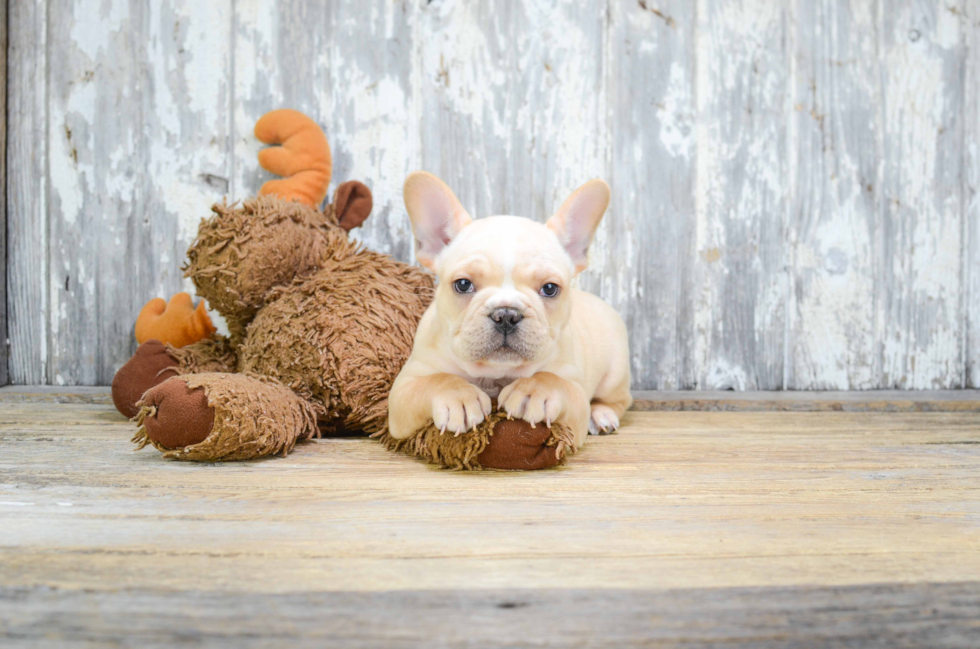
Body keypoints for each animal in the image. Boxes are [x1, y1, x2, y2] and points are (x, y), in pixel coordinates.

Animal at [386, 172, 632, 446]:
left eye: (550, 288)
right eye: (463, 284)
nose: (506, 314)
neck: (495, 374)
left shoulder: (575, 395)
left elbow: (554, 380)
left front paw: (534, 391)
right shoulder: (404, 389)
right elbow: (437, 380)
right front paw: (458, 396)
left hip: (615, 374)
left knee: (619, 400)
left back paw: (601, 415)